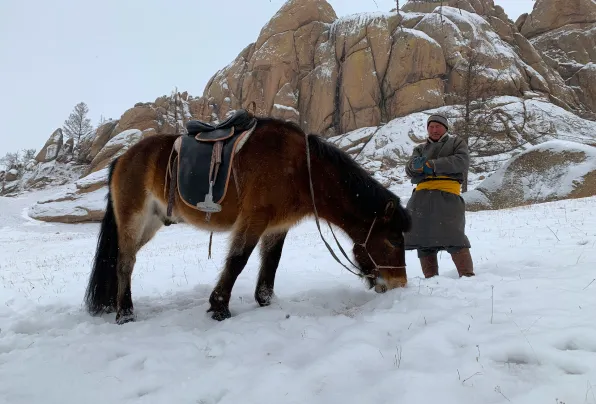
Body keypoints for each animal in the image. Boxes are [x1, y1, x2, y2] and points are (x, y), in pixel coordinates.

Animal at [84, 114, 410, 326]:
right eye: (394, 240)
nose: (399, 285)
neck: (300, 170)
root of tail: (123, 158)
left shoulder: (277, 227)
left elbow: (271, 263)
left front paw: (265, 301)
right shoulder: (254, 219)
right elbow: (238, 260)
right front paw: (219, 308)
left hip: (151, 222)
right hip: (134, 218)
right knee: (125, 263)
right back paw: (125, 314)